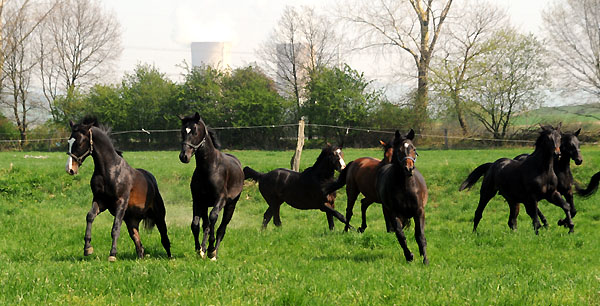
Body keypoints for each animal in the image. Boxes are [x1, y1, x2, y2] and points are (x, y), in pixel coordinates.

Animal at [65, 116, 171, 262]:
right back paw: (140, 257)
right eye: (69, 142)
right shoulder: (100, 201)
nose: (70, 169)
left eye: (80, 143)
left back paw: (170, 257)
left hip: (159, 215)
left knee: (164, 236)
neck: (109, 171)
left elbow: (115, 227)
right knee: (138, 242)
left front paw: (112, 254)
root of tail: (151, 179)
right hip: (131, 221)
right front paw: (87, 248)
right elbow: (90, 216)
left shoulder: (121, 202)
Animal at [178, 112, 244, 260]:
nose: (184, 156)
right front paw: (199, 249)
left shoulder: (220, 200)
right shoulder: (198, 200)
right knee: (206, 224)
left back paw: (213, 252)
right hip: (205, 205)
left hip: (231, 205)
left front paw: (209, 248)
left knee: (222, 228)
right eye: (183, 131)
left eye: (195, 131)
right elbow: (196, 225)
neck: (209, 168)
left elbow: (213, 218)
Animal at [376, 130, 426, 264]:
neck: (405, 186)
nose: (409, 168)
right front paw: (409, 256)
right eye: (399, 150)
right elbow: (400, 235)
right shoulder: (394, 213)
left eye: (414, 149)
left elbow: (420, 235)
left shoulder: (419, 211)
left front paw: (425, 259)